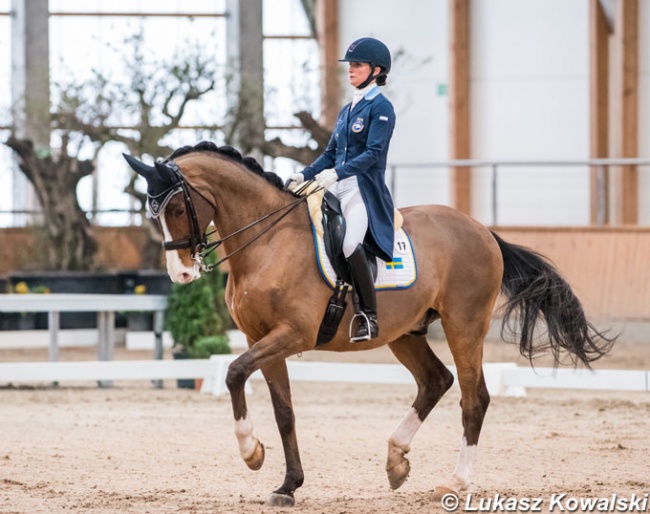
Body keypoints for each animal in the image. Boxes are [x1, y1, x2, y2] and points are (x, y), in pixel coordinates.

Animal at [124, 140, 616, 504]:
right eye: (152, 213)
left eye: (177, 209)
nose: (181, 274)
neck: (267, 242)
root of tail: (482, 230)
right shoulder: (259, 337)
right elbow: (283, 410)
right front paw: (288, 485)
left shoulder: (291, 335)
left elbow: (232, 373)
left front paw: (251, 453)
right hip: (404, 333)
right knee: (436, 381)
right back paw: (396, 460)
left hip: (464, 325)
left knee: (473, 397)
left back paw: (455, 482)